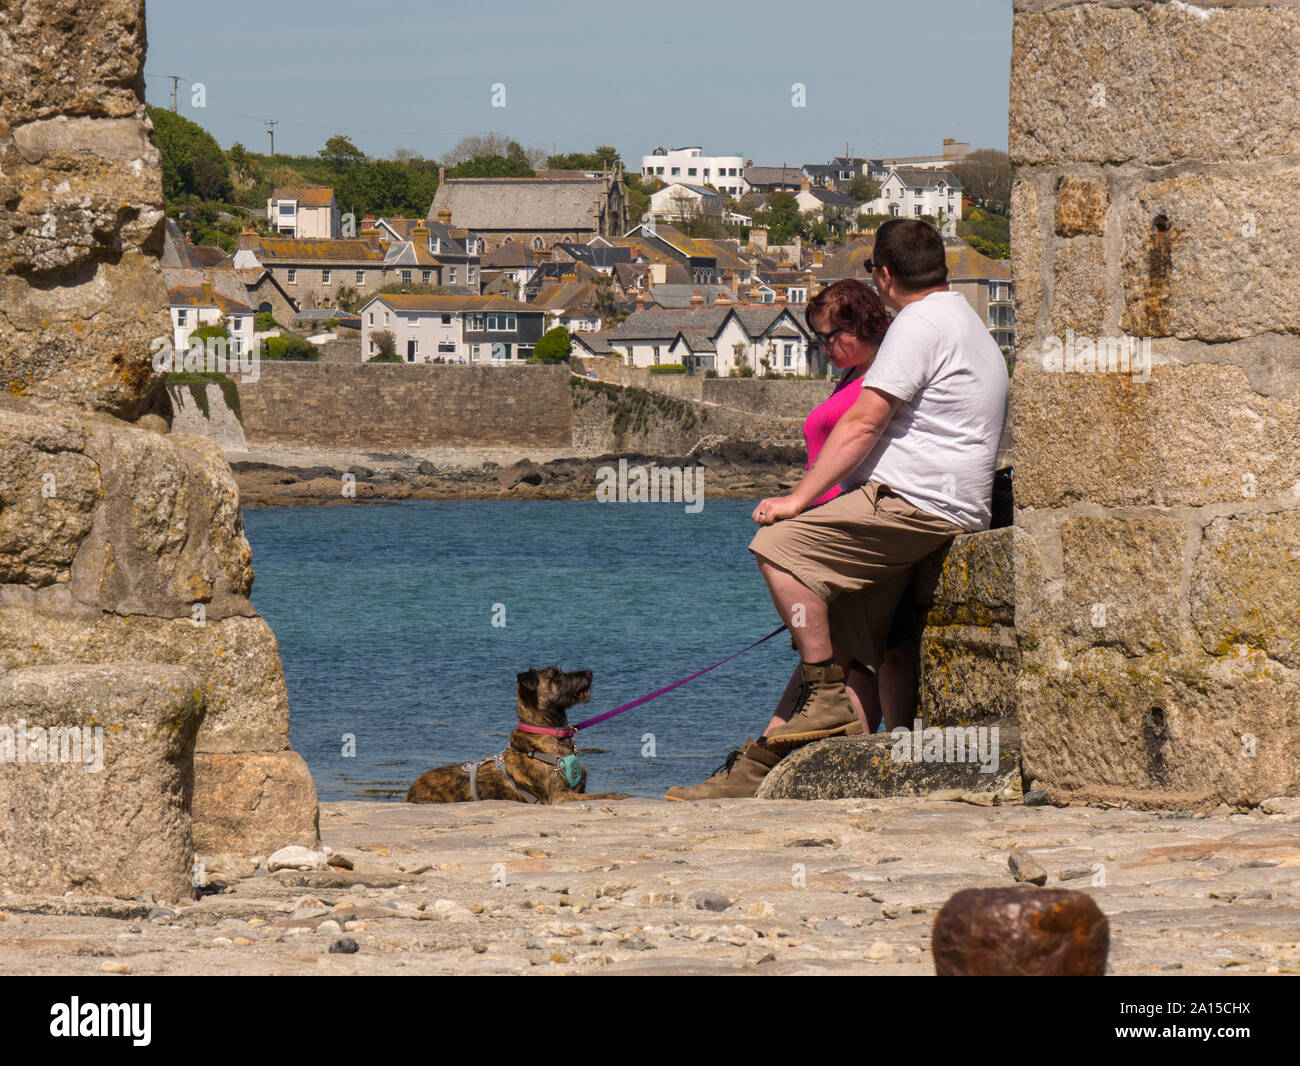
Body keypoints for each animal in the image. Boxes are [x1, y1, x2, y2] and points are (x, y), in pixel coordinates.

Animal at [405, 663, 629, 806]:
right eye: (556, 677)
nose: (589, 673)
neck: (551, 734)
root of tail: (409, 793)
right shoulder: (560, 796)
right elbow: (604, 795)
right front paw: (619, 795)